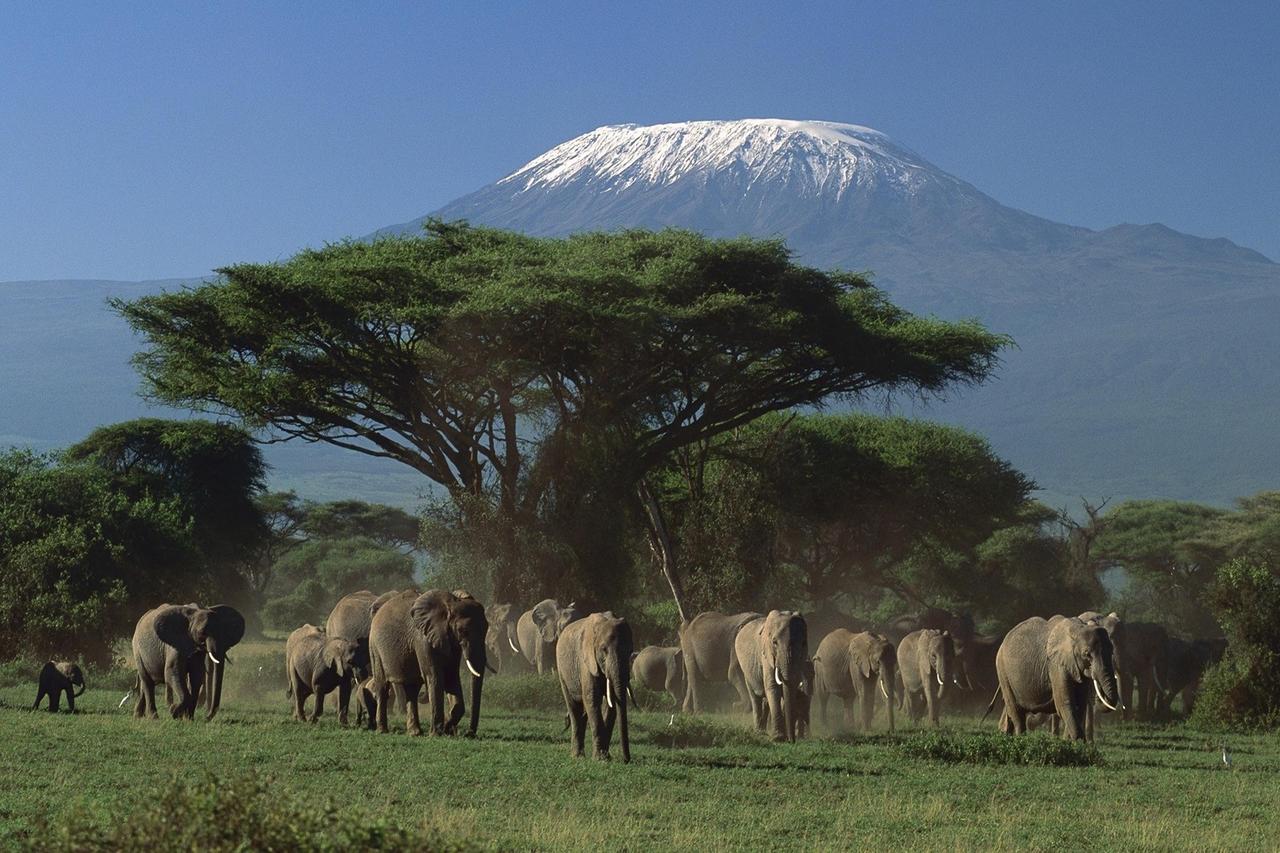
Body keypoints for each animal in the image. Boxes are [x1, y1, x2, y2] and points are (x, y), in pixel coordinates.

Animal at [368, 588, 488, 736]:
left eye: (487, 628)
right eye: (462, 631)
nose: (468, 733)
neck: (451, 604)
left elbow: (451, 677)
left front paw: (447, 729)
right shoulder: (423, 638)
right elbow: (434, 676)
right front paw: (437, 734)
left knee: (412, 690)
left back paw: (415, 733)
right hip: (374, 647)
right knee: (382, 686)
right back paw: (382, 731)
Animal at [556, 611, 633, 762]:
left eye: (630, 651)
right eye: (604, 650)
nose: (626, 760)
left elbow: (610, 703)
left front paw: (605, 756)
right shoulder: (586, 661)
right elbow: (592, 698)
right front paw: (600, 759)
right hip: (562, 671)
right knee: (574, 708)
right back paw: (577, 756)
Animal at [731, 610, 809, 742]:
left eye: (803, 643)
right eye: (774, 643)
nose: (792, 740)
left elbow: (790, 688)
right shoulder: (766, 656)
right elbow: (773, 688)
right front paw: (778, 738)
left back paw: (763, 731)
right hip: (746, 669)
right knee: (755, 697)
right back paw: (759, 732)